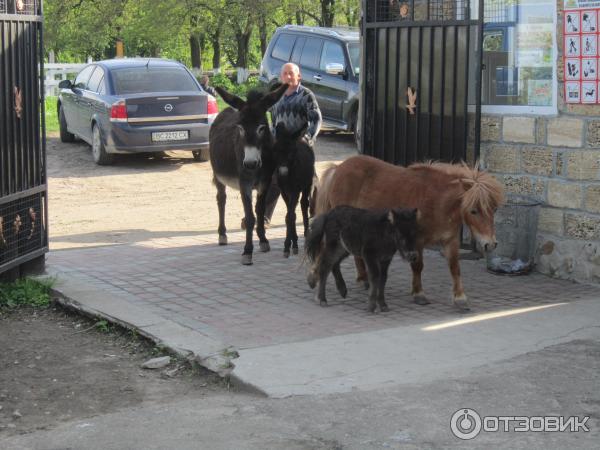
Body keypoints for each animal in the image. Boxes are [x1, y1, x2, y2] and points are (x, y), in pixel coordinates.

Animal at [274, 122, 316, 256]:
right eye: (276, 150)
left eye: (292, 152)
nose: (282, 172)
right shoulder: (284, 192)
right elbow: (289, 215)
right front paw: (292, 242)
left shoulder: (295, 190)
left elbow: (290, 216)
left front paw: (289, 245)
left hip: (307, 185)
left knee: (304, 204)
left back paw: (306, 234)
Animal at [316, 155, 504, 310]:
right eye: (473, 211)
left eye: (494, 209)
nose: (490, 244)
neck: (436, 202)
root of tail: (338, 168)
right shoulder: (417, 241)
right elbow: (418, 266)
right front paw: (419, 294)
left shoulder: (450, 241)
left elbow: (454, 268)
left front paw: (460, 298)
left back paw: (363, 279)